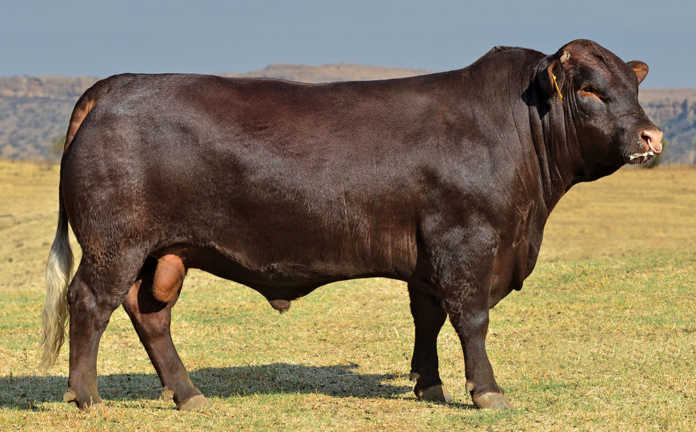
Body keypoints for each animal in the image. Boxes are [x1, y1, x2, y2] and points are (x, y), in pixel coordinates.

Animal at [40, 39, 662, 411]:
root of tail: (115, 85)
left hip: (160, 253)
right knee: (90, 302)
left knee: (150, 314)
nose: (651, 136)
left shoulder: (428, 257)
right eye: (589, 90)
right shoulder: (467, 243)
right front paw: (486, 392)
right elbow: (472, 321)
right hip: (115, 246)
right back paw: (86, 397)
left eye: (633, 87)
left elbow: (428, 320)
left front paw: (429, 386)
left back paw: (188, 394)